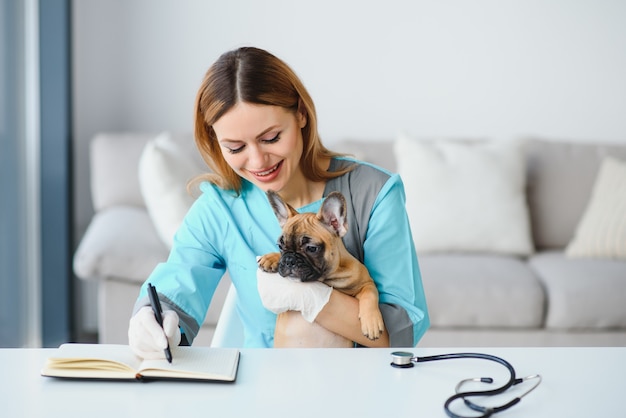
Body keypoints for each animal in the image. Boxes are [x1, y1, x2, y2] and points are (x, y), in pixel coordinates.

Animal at [256, 189, 382, 346]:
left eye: (311, 248)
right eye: (280, 246)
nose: (289, 260)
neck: (327, 278)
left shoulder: (366, 282)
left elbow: (370, 294)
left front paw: (372, 322)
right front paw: (271, 258)